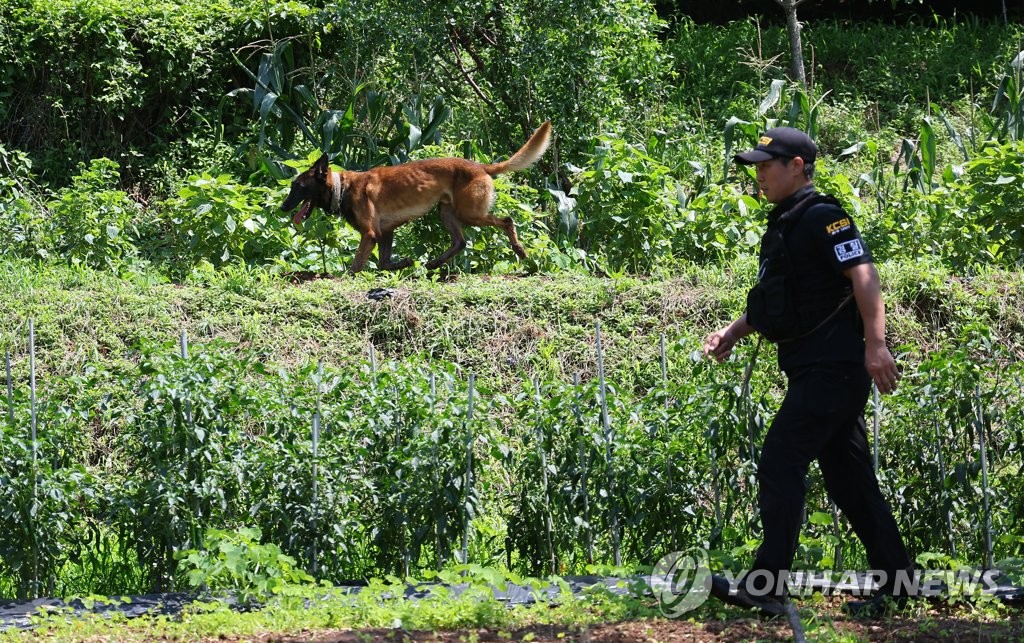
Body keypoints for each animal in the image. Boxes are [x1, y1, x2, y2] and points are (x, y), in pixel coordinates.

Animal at [280, 119, 552, 270]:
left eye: (298, 186)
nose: (283, 207)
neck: (343, 187)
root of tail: (481, 167)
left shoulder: (370, 234)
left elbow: (356, 266)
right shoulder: (385, 232)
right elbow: (384, 262)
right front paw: (403, 263)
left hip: (470, 213)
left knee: (506, 221)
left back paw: (519, 250)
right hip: (447, 213)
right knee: (460, 242)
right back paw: (434, 263)